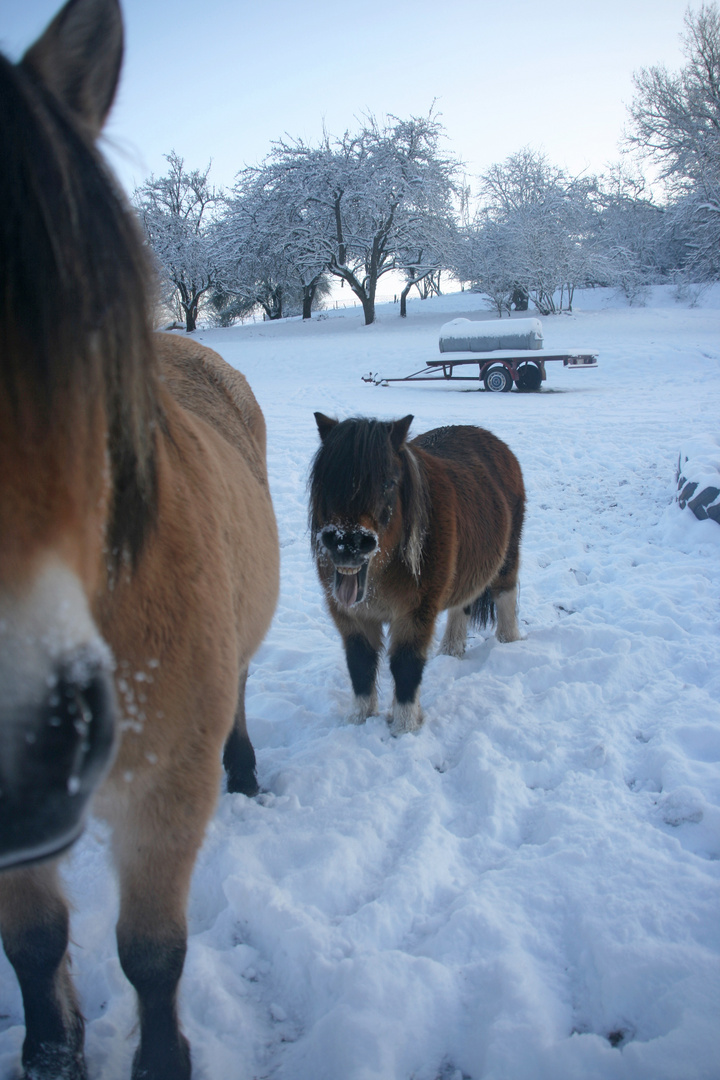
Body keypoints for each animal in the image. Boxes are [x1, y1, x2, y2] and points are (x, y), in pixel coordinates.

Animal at [0, 2, 278, 1080]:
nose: (22, 756)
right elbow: (35, 945)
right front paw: (52, 1050)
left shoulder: (163, 796)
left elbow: (152, 953)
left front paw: (162, 1060)